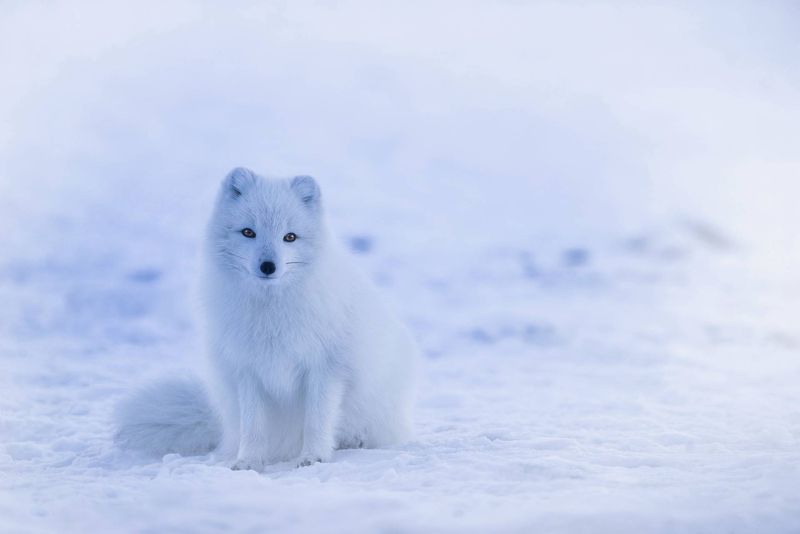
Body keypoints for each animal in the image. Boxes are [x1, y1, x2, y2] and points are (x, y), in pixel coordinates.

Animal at [118, 170, 422, 472]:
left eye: (290, 237)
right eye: (248, 232)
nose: (268, 266)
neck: (271, 312)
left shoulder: (325, 368)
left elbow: (317, 420)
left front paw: (313, 457)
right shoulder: (248, 371)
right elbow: (253, 427)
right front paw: (248, 462)